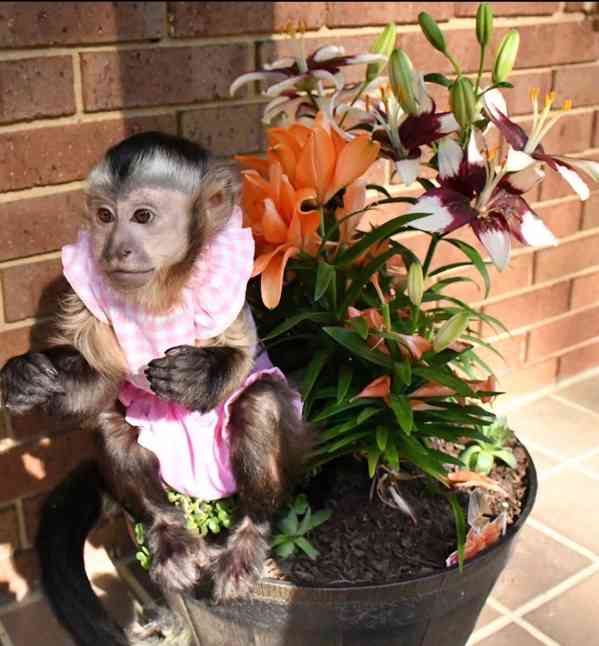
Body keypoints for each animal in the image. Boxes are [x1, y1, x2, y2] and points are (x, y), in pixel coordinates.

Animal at [0, 131, 312, 646]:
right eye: (106, 217)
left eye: (142, 217)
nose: (117, 250)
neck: (161, 289)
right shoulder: (85, 290)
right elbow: (94, 386)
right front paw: (30, 375)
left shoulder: (229, 275)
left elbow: (245, 358)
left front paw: (200, 374)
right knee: (111, 425)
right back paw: (168, 533)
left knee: (261, 404)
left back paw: (248, 536)